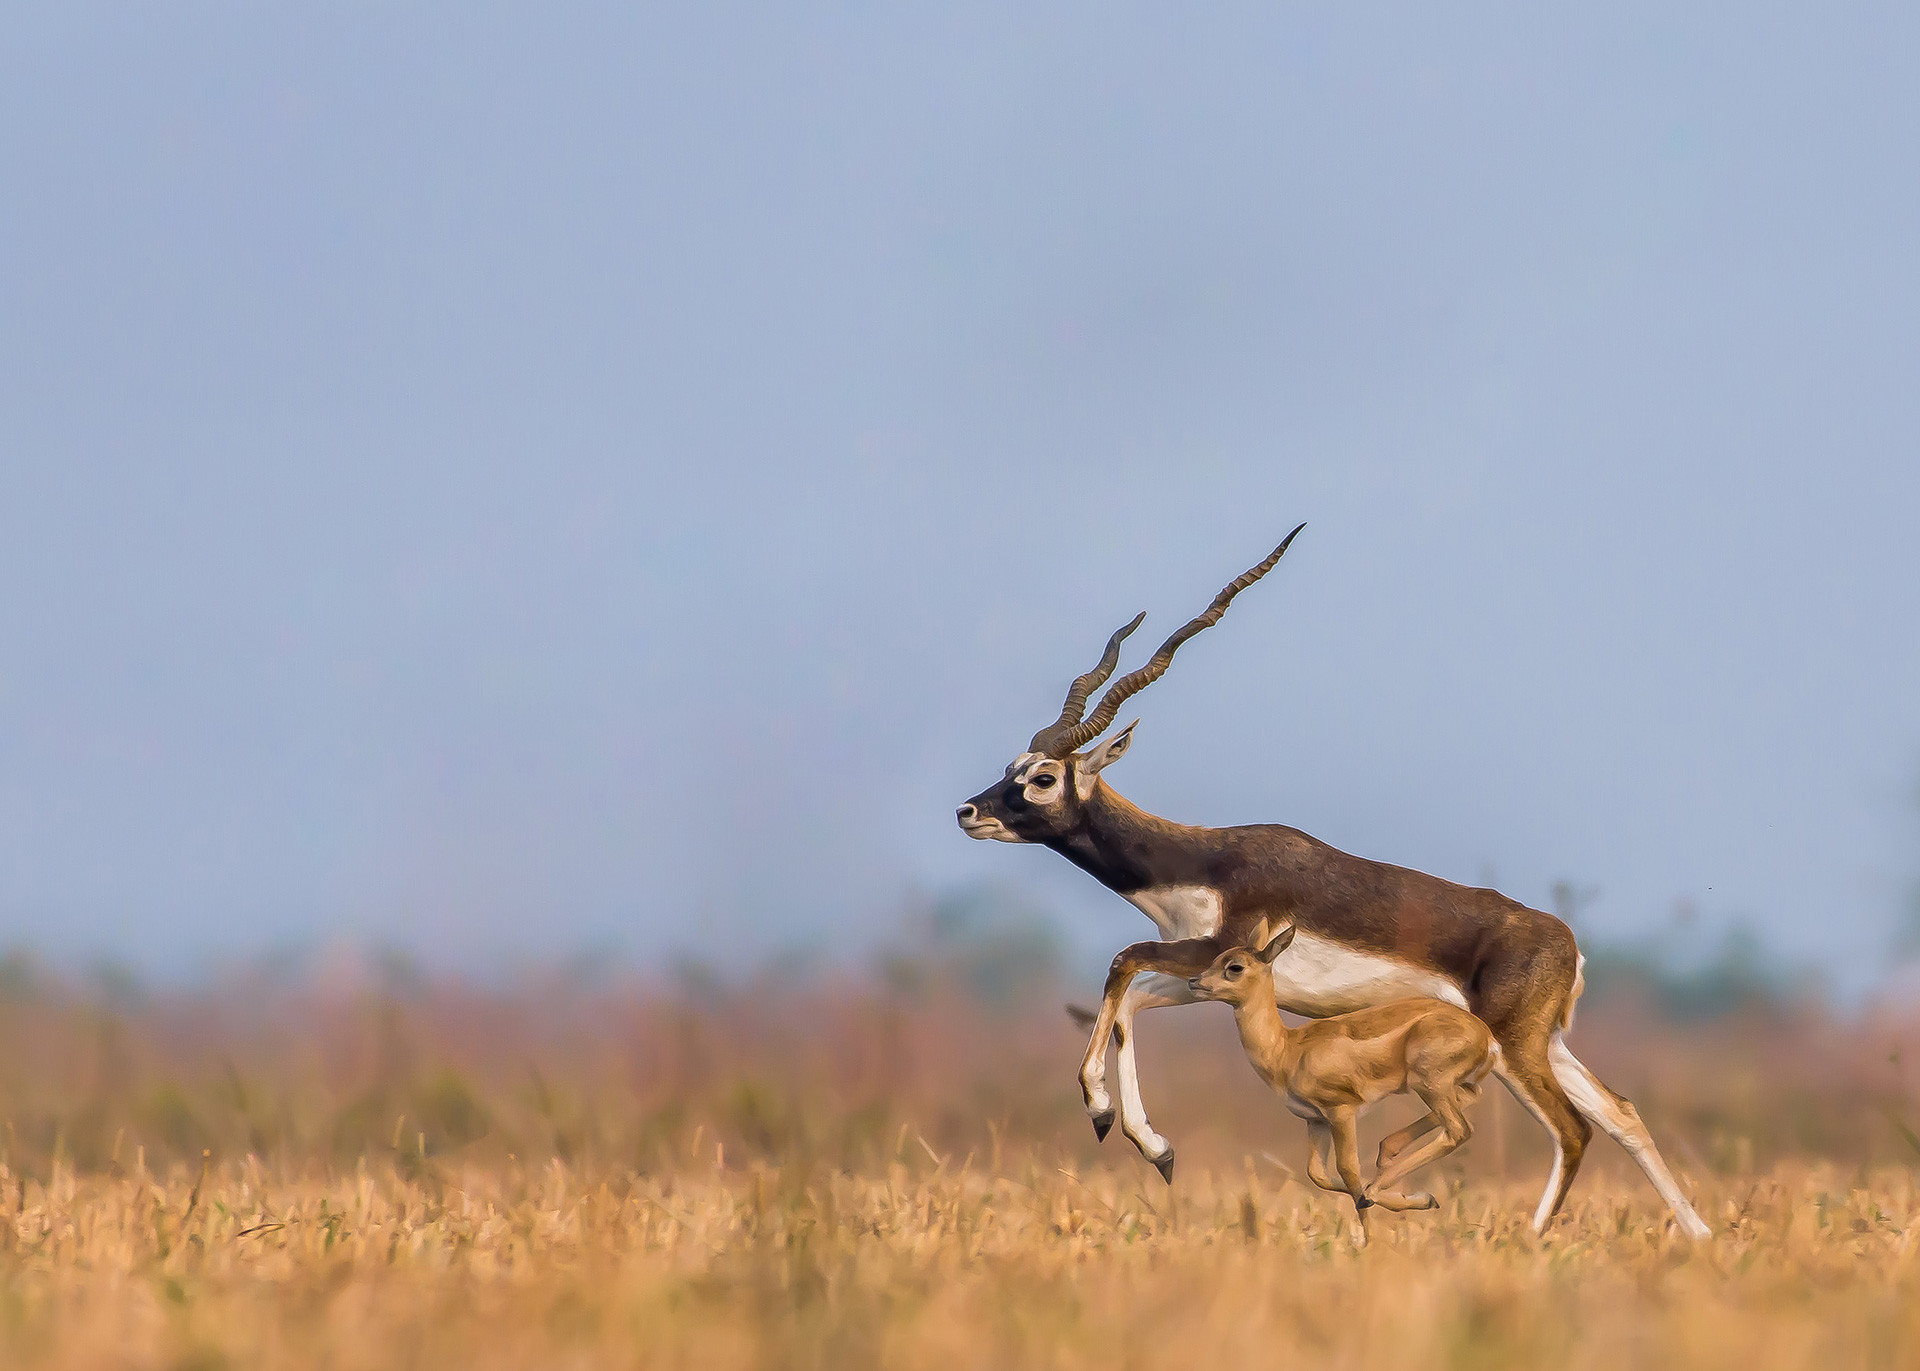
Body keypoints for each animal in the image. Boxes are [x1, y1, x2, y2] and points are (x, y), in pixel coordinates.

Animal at [1187, 919, 1500, 1246]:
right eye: (1217, 958)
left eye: (1235, 966)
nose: (1194, 982)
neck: (1288, 1049)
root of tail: (1485, 1037)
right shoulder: (1315, 1120)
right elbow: (1319, 1175)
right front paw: (1416, 1200)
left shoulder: (1341, 1111)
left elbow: (1348, 1170)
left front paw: (1371, 1238)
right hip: (1438, 1085)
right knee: (1470, 1097)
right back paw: (1393, 1162)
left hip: (1428, 1083)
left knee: (1459, 1130)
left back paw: (1378, 1188)